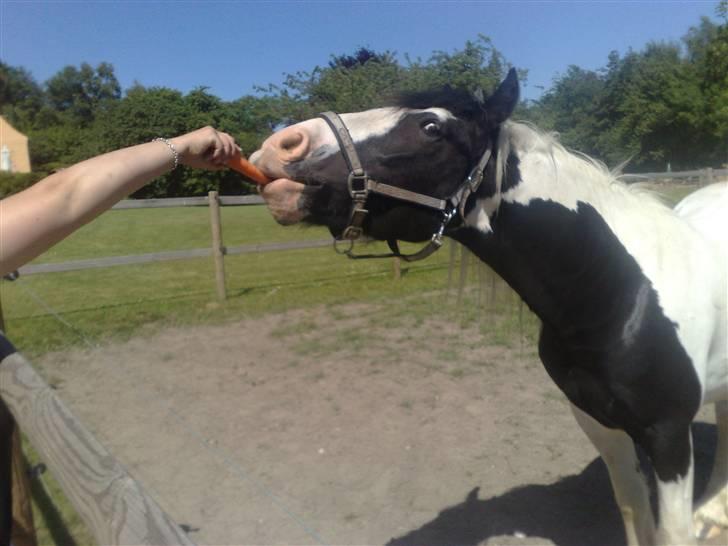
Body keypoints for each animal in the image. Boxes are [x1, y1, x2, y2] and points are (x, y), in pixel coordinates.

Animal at [252, 69, 728, 544]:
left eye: (431, 126)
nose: (283, 144)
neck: (621, 293)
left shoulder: (668, 437)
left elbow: (671, 532)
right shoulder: (600, 424)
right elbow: (632, 510)